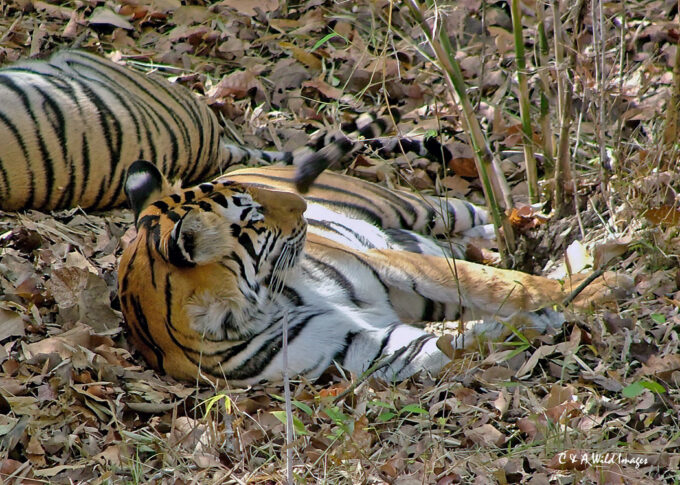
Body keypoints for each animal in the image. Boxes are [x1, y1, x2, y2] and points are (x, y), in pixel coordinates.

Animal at [118, 160, 630, 385]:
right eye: (254, 215)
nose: (302, 204)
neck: (259, 304)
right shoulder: (359, 344)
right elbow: (454, 341)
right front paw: (533, 326)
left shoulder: (393, 266)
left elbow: (510, 284)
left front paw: (603, 289)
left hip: (413, 207)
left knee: (480, 215)